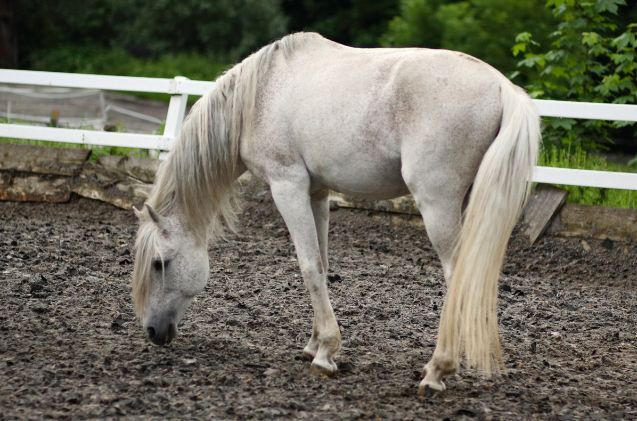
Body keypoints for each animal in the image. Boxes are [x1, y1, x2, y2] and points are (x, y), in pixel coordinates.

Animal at [133, 32, 536, 394]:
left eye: (159, 263)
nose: (153, 331)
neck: (259, 95)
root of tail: (503, 88)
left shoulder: (288, 185)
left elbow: (309, 266)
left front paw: (326, 353)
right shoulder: (317, 192)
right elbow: (323, 265)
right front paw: (313, 344)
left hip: (437, 206)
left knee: (457, 277)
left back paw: (437, 371)